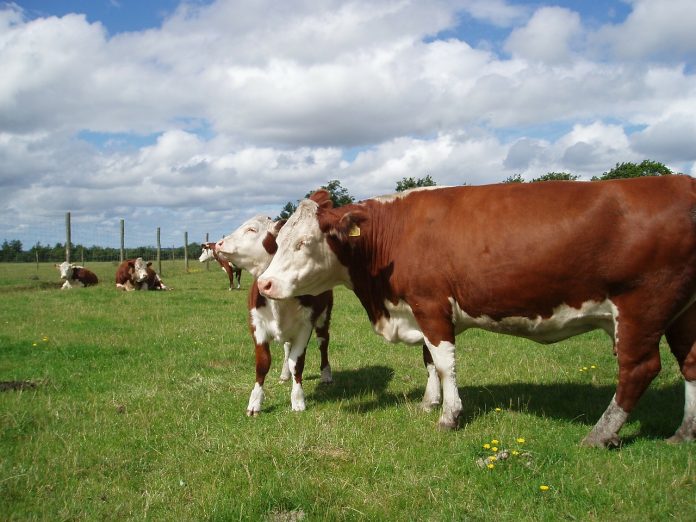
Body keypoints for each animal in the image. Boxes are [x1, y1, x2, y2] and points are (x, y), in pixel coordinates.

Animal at [215, 215, 333, 416]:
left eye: (252, 229)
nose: (218, 243)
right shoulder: (257, 325)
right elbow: (263, 363)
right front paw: (255, 402)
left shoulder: (305, 326)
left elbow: (297, 363)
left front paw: (298, 399)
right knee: (286, 348)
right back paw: (285, 375)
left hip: (324, 316)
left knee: (323, 343)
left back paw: (326, 374)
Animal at [257, 175, 696, 448]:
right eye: (278, 241)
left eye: (304, 243)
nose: (264, 284)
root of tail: (681, 182)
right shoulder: (422, 310)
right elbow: (429, 360)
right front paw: (429, 403)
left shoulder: (432, 304)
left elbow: (444, 362)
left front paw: (449, 416)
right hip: (682, 313)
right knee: (689, 363)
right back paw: (684, 432)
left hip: (642, 306)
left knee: (639, 369)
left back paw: (600, 434)